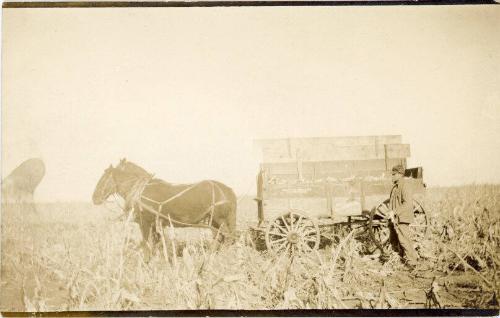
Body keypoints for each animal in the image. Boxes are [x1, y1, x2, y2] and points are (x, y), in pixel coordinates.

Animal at [92, 158, 238, 258]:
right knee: (219, 239)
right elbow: (155, 243)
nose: (94, 198)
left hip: (221, 220)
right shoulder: (154, 224)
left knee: (228, 237)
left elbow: (146, 244)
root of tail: (228, 190)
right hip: (213, 221)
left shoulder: (145, 223)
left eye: (104, 177)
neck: (141, 190)